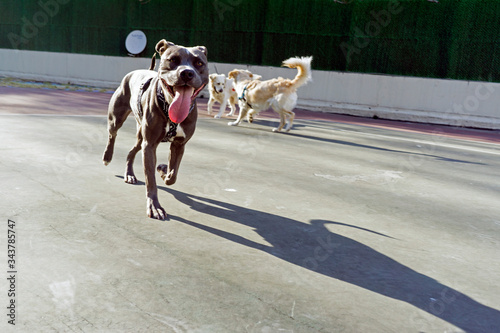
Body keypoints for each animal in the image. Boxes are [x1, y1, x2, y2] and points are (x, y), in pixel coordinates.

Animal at [102, 39, 208, 218]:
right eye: (173, 60)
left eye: (199, 63)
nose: (187, 73)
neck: (169, 105)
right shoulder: (150, 145)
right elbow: (150, 179)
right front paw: (154, 206)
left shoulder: (179, 145)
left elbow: (172, 175)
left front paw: (163, 170)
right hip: (117, 118)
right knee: (112, 134)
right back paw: (107, 157)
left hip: (141, 137)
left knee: (131, 151)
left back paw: (130, 174)